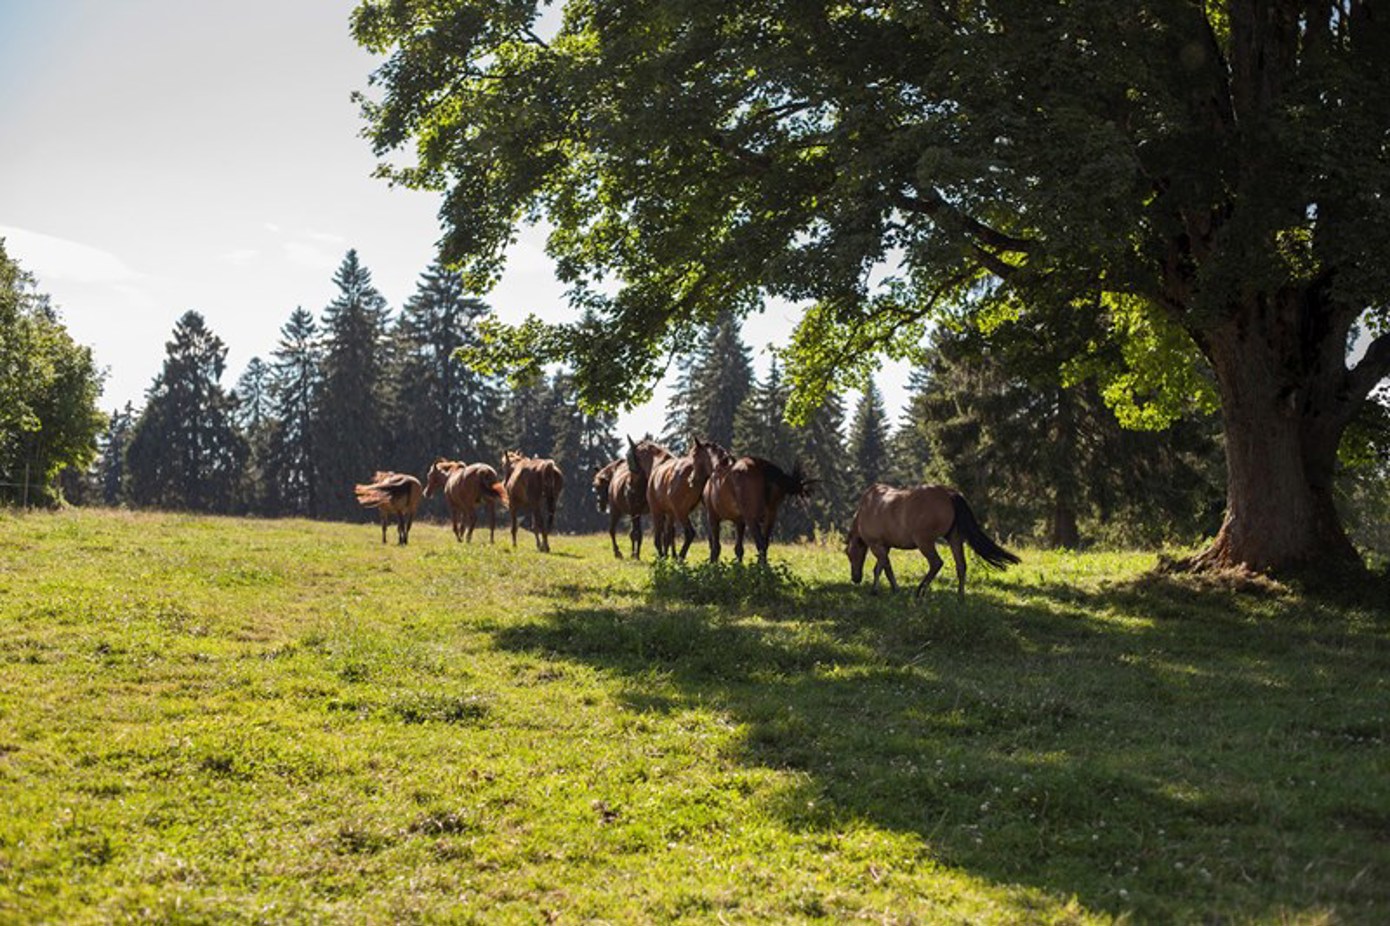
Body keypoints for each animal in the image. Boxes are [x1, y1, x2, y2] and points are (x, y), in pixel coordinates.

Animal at [845, 483, 1023, 597]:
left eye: (849, 554)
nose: (855, 578)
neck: (867, 508)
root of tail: (949, 494)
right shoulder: (885, 546)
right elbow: (882, 568)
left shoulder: (876, 545)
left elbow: (883, 568)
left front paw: (885, 590)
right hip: (954, 538)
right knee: (961, 566)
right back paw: (960, 596)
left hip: (924, 541)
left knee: (936, 563)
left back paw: (920, 591)